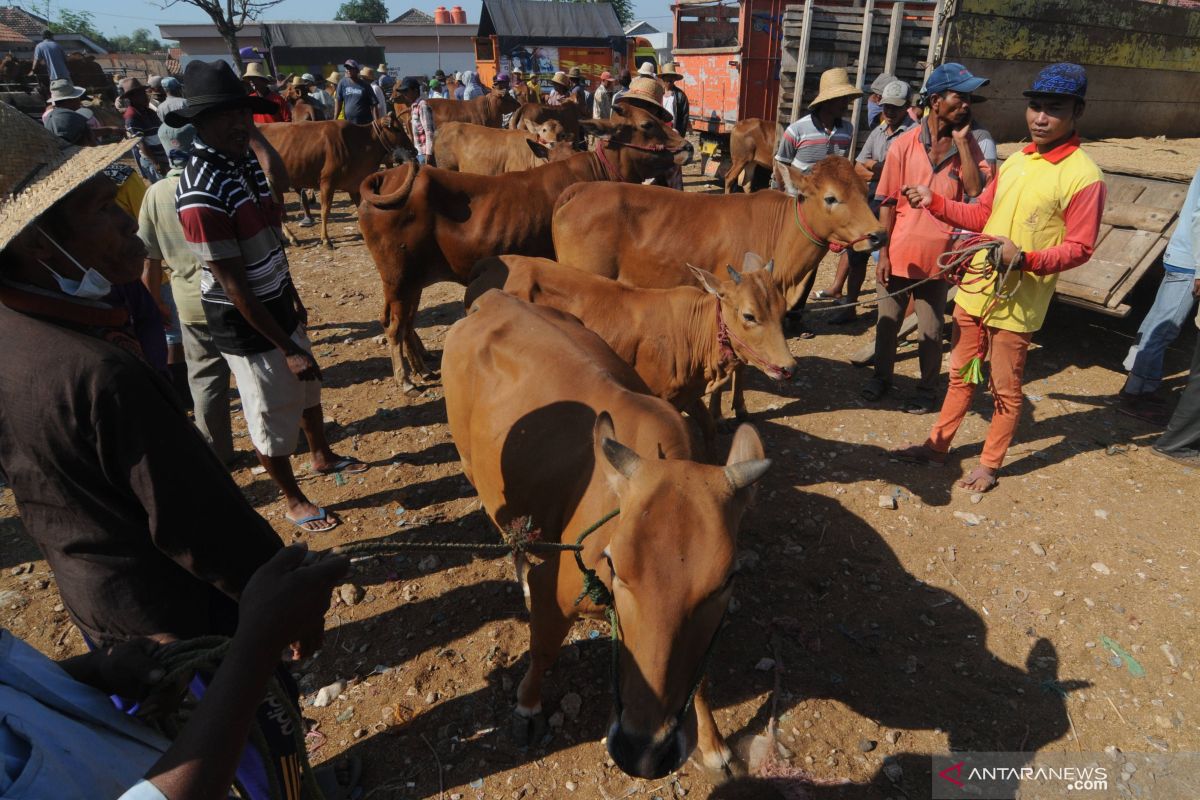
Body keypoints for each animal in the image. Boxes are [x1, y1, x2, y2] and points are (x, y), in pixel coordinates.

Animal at [259, 110, 417, 247]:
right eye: (397, 129)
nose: (414, 150)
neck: (360, 141)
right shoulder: (327, 182)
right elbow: (325, 211)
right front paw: (326, 239)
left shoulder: (354, 185)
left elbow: (359, 208)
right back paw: (291, 237)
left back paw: (290, 238)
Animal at [441, 289, 768, 782]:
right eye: (613, 563)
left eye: (727, 579)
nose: (644, 751)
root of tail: (493, 299)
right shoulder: (556, 589)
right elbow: (543, 648)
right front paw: (527, 706)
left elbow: (700, 678)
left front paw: (713, 746)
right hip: (473, 469)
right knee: (512, 541)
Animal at [468, 253, 796, 448]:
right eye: (749, 315)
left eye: (782, 310)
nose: (788, 367)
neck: (690, 332)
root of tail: (487, 267)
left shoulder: (686, 394)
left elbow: (709, 429)